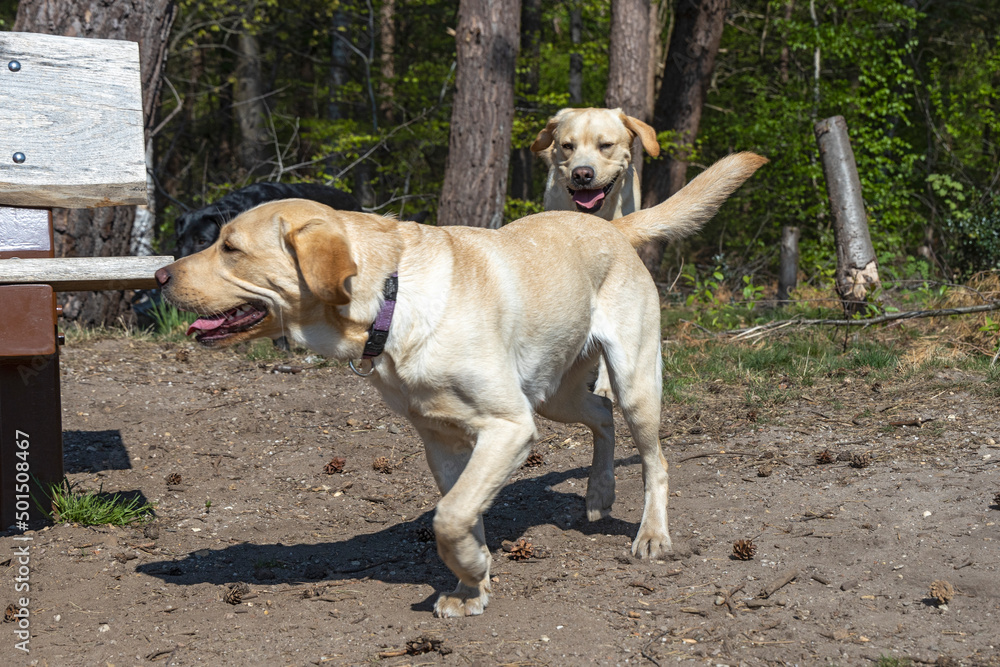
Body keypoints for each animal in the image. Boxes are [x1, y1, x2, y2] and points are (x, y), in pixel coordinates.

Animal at [154, 153, 764, 620]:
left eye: (230, 246)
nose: (159, 275)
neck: (393, 297)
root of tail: (611, 227)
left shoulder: (510, 427)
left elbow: (449, 518)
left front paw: (473, 569)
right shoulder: (442, 440)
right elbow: (460, 513)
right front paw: (473, 584)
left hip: (632, 382)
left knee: (655, 458)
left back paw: (652, 534)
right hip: (556, 396)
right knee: (600, 416)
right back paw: (597, 494)